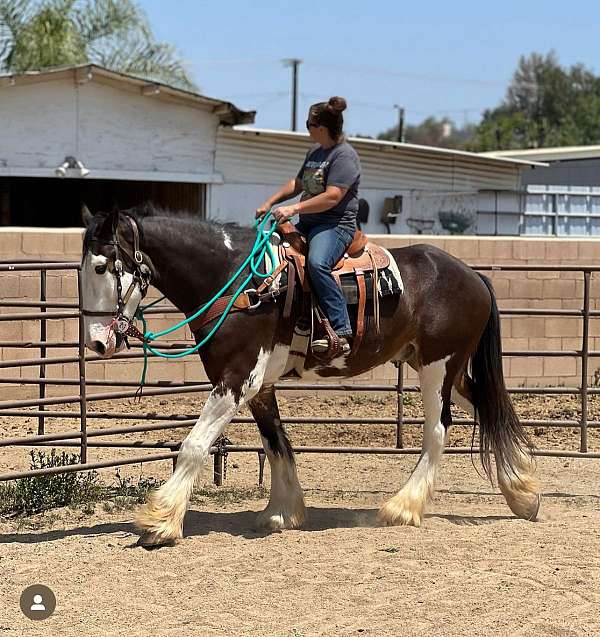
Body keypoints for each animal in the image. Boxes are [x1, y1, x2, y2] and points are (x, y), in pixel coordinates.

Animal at [81, 204, 544, 548]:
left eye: (103, 267)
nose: (98, 343)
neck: (239, 282)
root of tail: (473, 275)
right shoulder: (260, 385)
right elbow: (277, 445)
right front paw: (281, 512)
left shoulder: (237, 378)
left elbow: (194, 446)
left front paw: (159, 522)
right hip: (447, 370)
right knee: (488, 409)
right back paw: (523, 493)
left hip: (437, 367)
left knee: (438, 430)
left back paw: (404, 506)